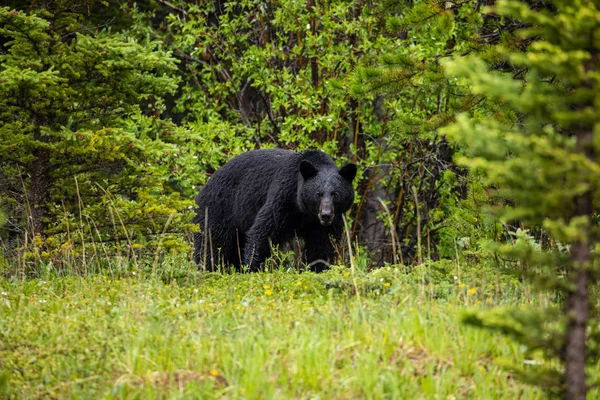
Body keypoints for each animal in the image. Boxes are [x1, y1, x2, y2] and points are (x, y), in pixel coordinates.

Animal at [193, 148, 356, 274]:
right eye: (318, 194)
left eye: (335, 194)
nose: (326, 215)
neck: (304, 212)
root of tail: (203, 189)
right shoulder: (283, 198)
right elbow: (263, 232)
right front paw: (254, 268)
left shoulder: (326, 222)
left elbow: (323, 245)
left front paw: (319, 268)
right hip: (219, 210)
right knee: (212, 243)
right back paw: (207, 269)